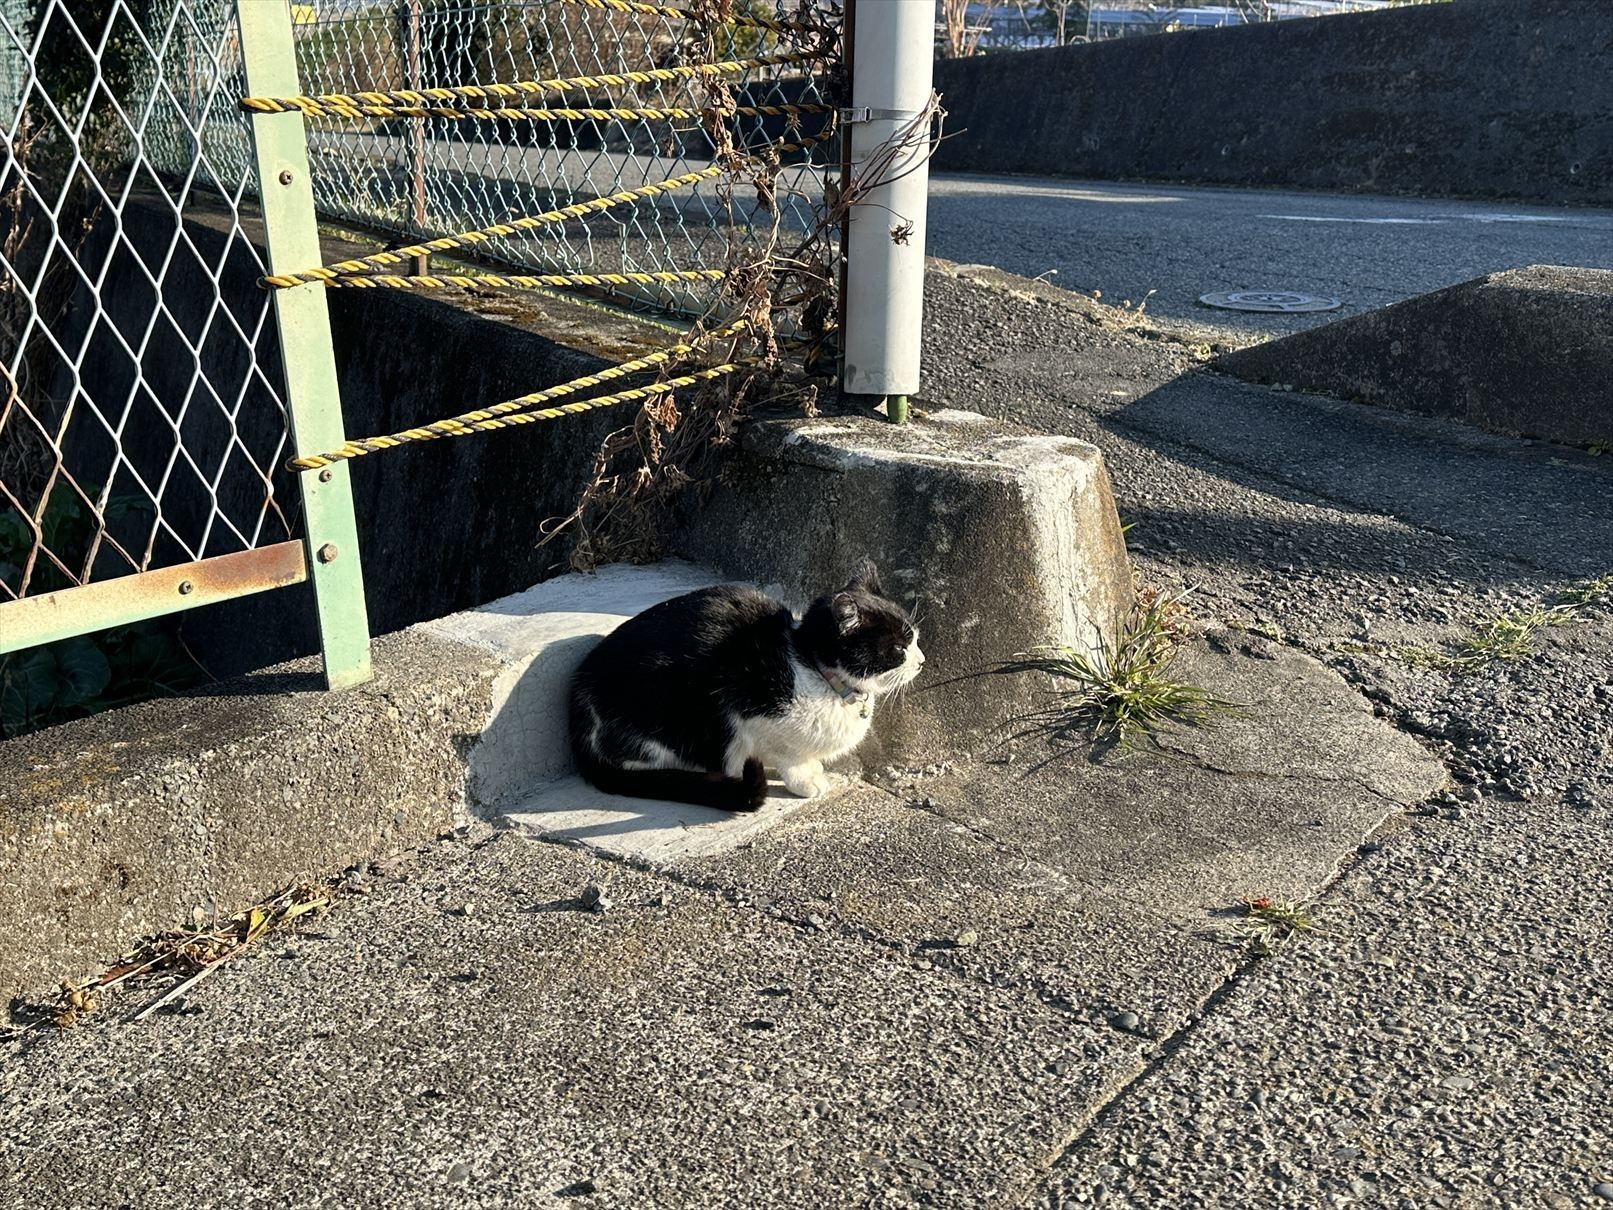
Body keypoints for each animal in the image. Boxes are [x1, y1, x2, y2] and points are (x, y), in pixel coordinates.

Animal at [569, 561, 924, 811]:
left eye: (915, 638)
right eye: (898, 648)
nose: (921, 661)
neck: (811, 668)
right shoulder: (749, 709)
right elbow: (789, 755)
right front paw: (806, 779)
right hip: (667, 708)